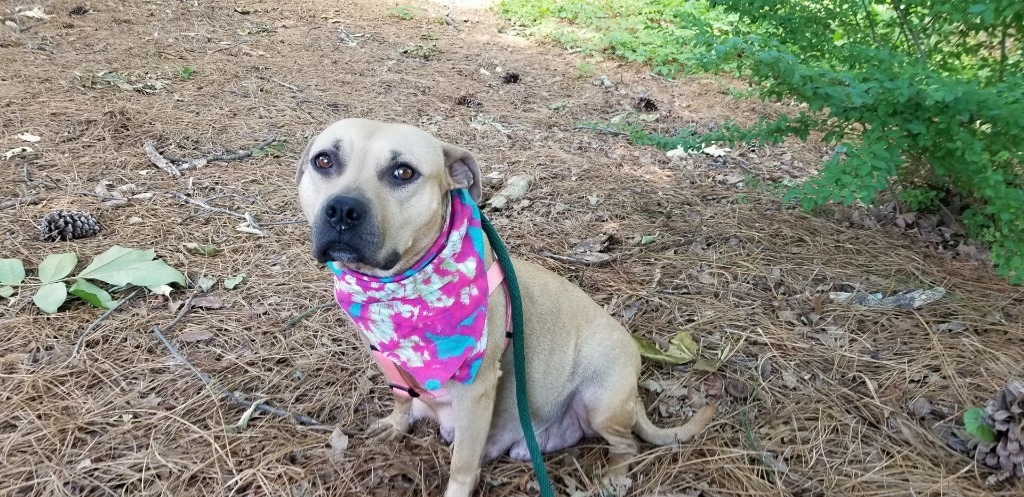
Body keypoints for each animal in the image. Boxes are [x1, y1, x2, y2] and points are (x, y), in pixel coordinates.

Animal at [294, 118, 712, 493]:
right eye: (324, 160)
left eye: (403, 172)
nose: (342, 210)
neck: (398, 291)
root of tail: (633, 389)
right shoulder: (387, 357)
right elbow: (401, 396)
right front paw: (398, 424)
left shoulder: (476, 392)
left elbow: (462, 465)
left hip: (602, 399)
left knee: (627, 444)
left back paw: (613, 476)